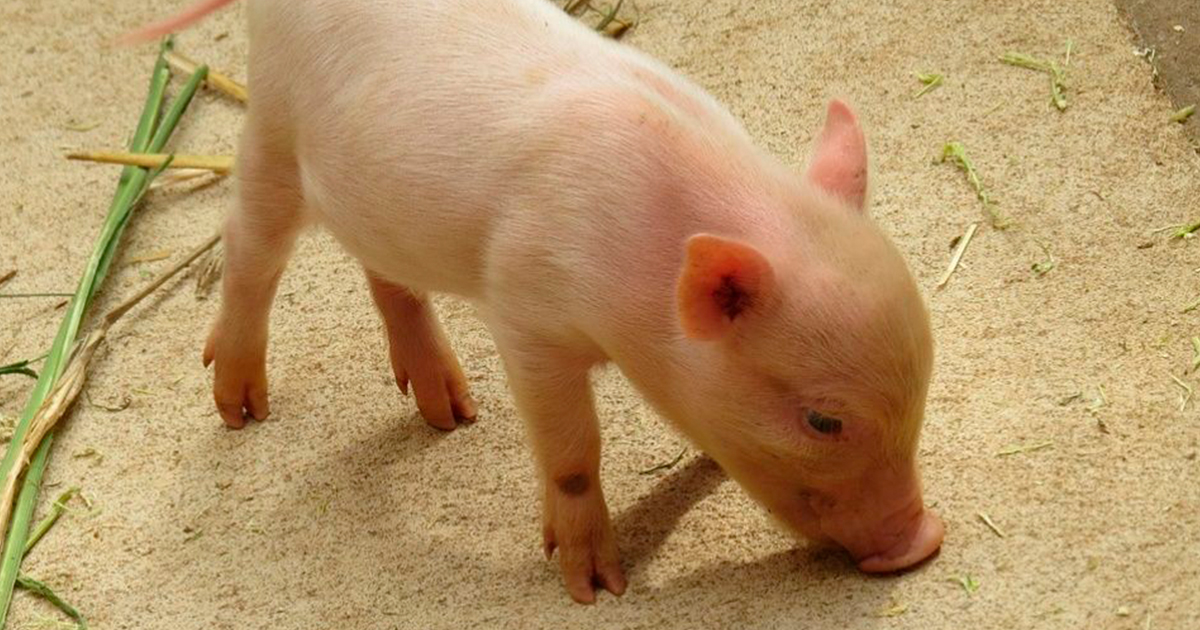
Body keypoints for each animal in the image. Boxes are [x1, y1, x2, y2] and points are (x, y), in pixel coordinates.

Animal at [127, 0, 943, 604]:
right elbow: (574, 449)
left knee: (386, 273)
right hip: (271, 119)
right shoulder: (525, 313)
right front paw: (596, 588)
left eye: (922, 391)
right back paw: (241, 409)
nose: (923, 541)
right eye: (823, 420)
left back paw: (449, 415)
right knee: (249, 249)